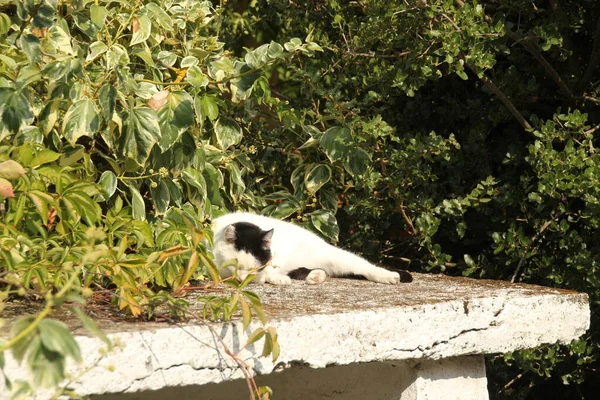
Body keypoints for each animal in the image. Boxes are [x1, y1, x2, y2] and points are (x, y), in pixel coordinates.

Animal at [211, 212, 412, 284]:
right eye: (235, 265)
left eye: (255, 267)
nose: (240, 278)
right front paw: (276, 279)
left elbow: (266, 272)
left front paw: (273, 277)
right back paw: (315, 275)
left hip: (334, 256)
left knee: (364, 266)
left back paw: (390, 276)